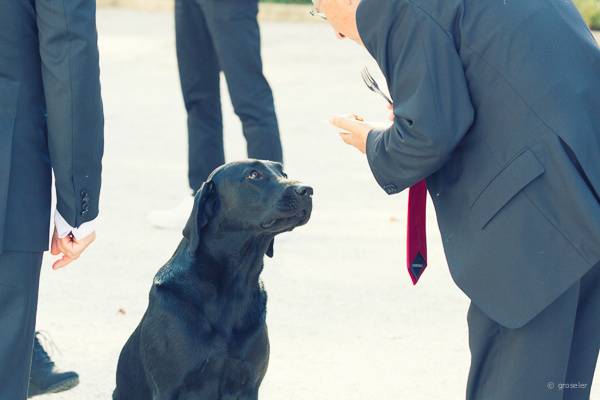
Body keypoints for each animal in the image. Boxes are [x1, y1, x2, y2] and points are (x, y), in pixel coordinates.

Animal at [112, 160, 314, 400]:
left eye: (283, 172)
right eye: (253, 175)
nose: (308, 190)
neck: (234, 286)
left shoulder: (249, 384)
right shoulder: (168, 388)